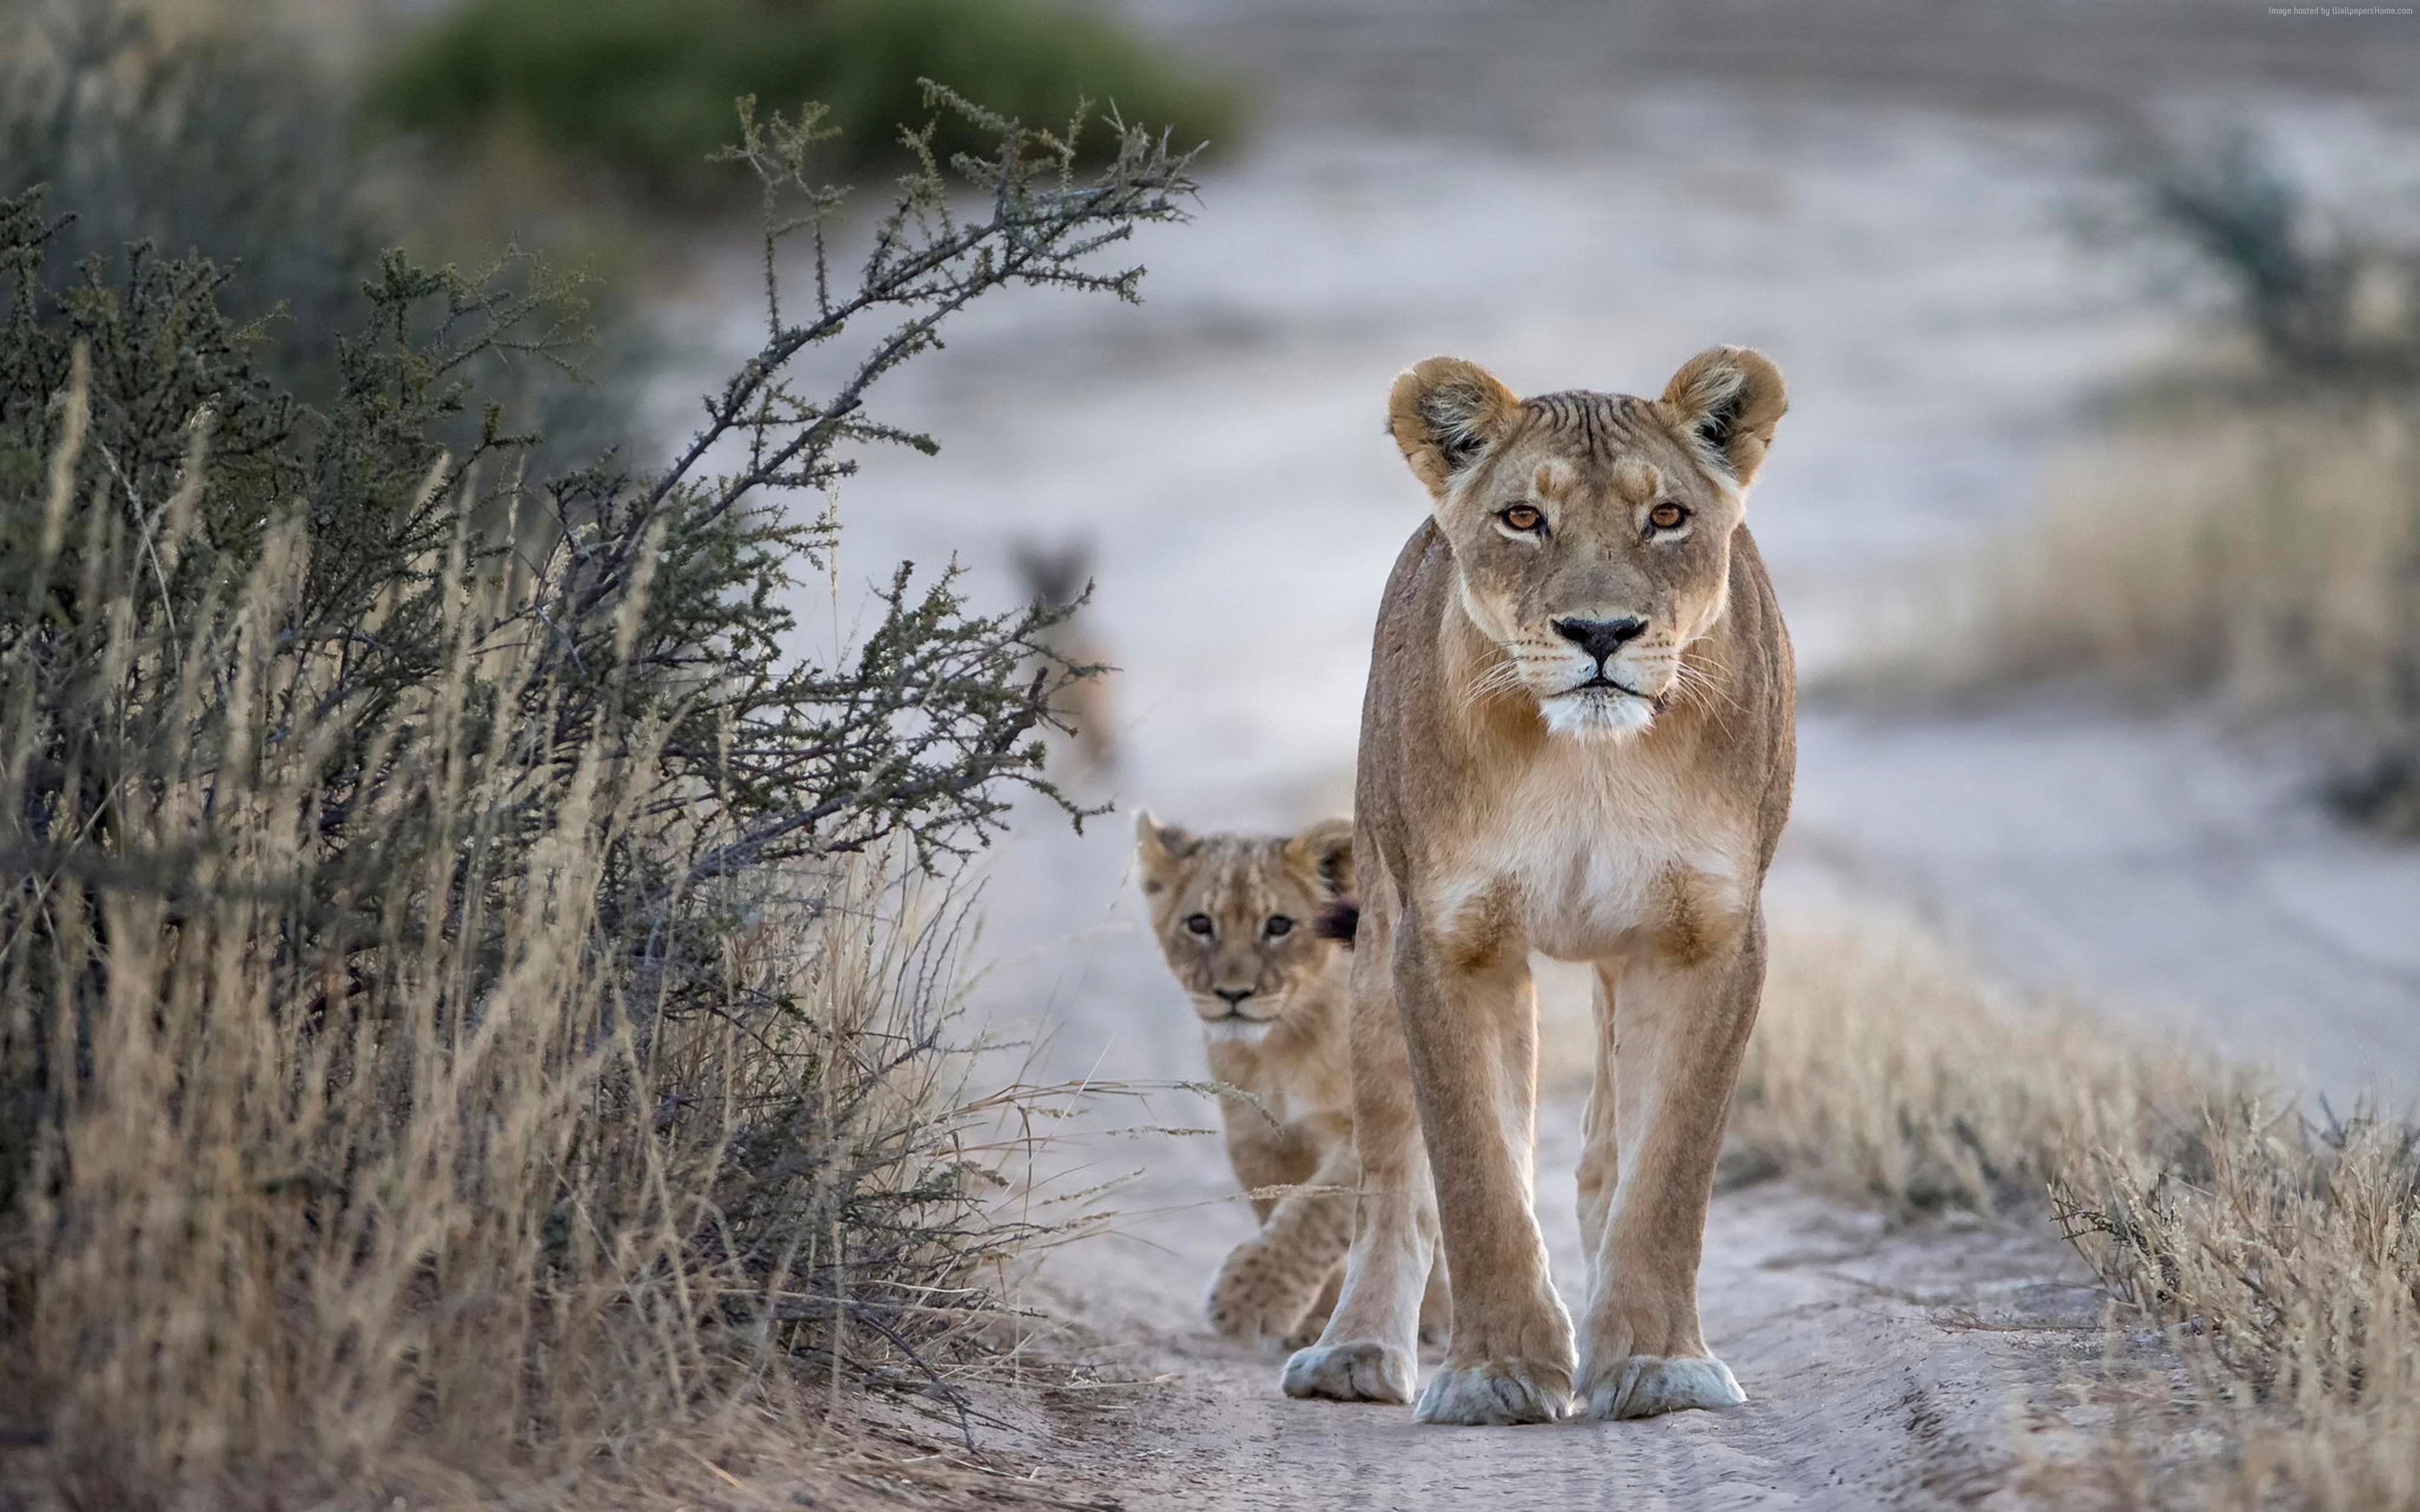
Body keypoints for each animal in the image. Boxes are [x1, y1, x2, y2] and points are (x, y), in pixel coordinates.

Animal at [1134, 812, 1447, 1351]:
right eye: (1200, 924)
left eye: (1278, 925)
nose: (1233, 994)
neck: (1281, 1047)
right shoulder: (1260, 1139)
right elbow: (1286, 1207)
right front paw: (1312, 1321)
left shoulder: (1369, 1120)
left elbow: (1319, 1211)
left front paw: (1251, 1300)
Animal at [1279, 347, 1795, 1426]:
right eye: (1523, 518)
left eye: (1666, 516)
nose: (1601, 631)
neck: (1589, 763)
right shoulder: (1446, 940)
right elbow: (1474, 1171)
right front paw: (1498, 1374)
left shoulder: (1708, 936)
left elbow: (1668, 1170)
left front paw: (1658, 1365)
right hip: (1376, 948)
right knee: (1395, 1178)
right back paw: (1354, 1354)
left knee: (1604, 1155)